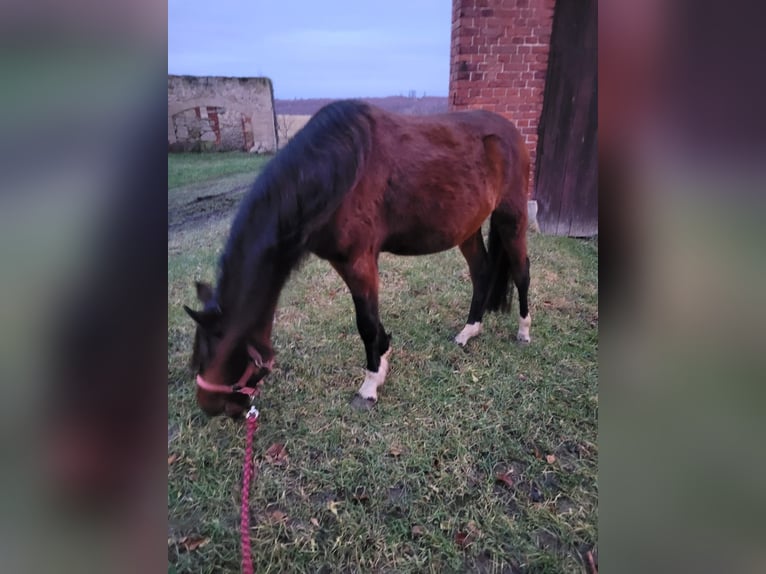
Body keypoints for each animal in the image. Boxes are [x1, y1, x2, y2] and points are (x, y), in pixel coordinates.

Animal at [184, 100, 531, 418]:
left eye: (213, 354)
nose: (210, 407)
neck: (336, 170)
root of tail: (512, 132)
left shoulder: (358, 261)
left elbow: (364, 323)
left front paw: (369, 387)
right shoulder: (345, 263)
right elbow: (373, 319)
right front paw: (384, 357)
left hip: (511, 217)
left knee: (521, 272)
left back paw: (524, 332)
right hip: (467, 228)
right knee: (482, 272)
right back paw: (469, 331)